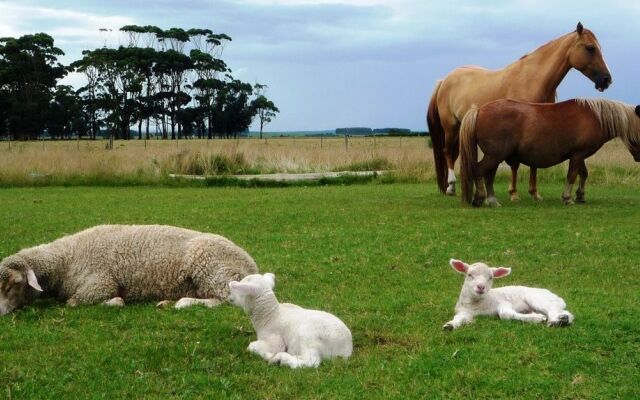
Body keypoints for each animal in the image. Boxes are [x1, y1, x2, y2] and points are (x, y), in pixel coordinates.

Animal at [1, 223, 260, 314]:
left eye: (14, 284)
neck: (65, 259)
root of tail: (250, 264)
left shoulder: (100, 284)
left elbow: (73, 303)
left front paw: (116, 301)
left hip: (214, 271)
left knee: (224, 301)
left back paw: (182, 304)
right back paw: (167, 303)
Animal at [428, 21, 612, 199]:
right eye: (590, 48)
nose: (606, 80)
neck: (532, 80)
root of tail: (445, 80)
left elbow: (534, 161)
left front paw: (534, 192)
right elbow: (516, 163)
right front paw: (514, 193)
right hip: (450, 127)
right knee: (447, 152)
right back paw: (451, 187)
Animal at [442, 258, 572, 330]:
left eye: (490, 277)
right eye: (469, 274)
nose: (481, 287)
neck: (478, 305)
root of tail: (559, 298)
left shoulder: (503, 302)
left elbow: (505, 314)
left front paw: (536, 318)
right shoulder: (464, 311)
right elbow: (458, 318)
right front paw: (449, 325)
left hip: (537, 298)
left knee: (552, 308)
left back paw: (556, 321)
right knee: (565, 312)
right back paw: (562, 320)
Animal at [458, 99, 640, 208]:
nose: (638, 158)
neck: (594, 117)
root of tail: (479, 110)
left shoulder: (579, 155)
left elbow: (583, 174)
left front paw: (580, 196)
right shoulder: (578, 155)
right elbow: (572, 175)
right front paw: (567, 197)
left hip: (495, 156)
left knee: (488, 175)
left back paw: (492, 199)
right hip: (494, 155)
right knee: (480, 171)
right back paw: (481, 198)